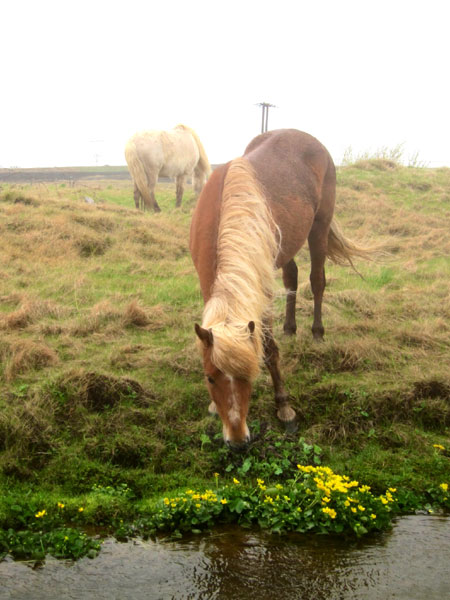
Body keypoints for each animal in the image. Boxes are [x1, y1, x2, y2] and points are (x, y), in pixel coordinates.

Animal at [190, 129, 370, 448]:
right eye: (210, 378)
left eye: (250, 376)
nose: (237, 441)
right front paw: (213, 405)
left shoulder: (259, 293)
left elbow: (269, 349)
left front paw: (284, 407)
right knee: (292, 279)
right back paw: (290, 328)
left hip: (319, 227)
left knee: (317, 280)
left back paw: (317, 333)